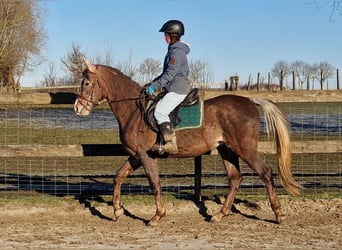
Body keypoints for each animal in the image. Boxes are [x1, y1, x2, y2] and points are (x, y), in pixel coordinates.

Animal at [73, 59, 300, 227]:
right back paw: (220, 214)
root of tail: (249, 101)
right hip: (226, 150)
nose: (78, 108)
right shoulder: (137, 155)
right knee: (235, 178)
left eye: (86, 83)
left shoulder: (146, 155)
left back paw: (278, 214)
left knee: (265, 173)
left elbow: (154, 183)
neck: (134, 111)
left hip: (245, 149)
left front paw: (157, 216)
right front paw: (117, 210)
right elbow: (118, 176)